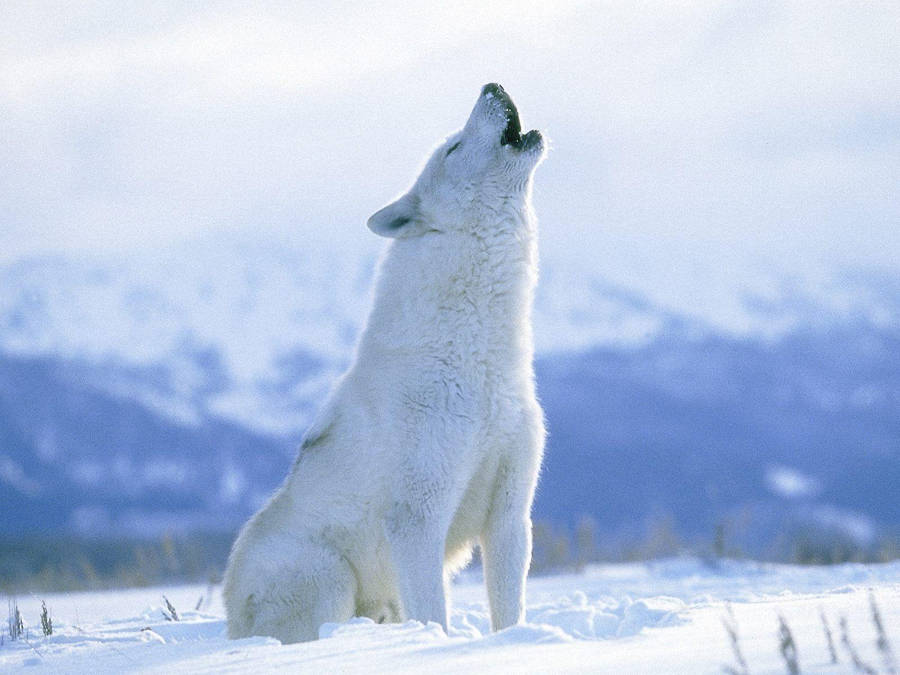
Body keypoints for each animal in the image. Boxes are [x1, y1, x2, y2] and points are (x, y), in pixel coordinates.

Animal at [223, 83, 547, 643]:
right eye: (453, 149)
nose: (493, 85)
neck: (478, 363)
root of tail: (228, 617)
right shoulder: (418, 519)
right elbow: (435, 613)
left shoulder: (510, 514)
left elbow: (509, 612)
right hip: (329, 577)